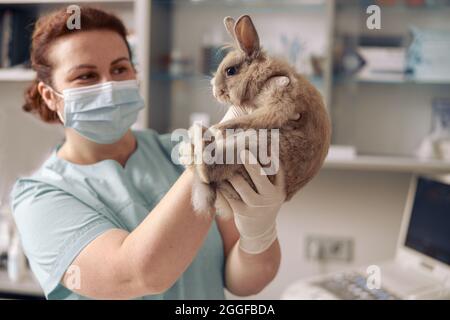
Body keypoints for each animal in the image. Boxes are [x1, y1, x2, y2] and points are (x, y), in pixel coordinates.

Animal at [181, 14, 332, 218]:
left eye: (231, 71)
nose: (215, 92)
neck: (264, 74)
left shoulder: (282, 99)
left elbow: (258, 117)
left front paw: (222, 126)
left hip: (257, 146)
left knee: (208, 169)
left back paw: (200, 134)